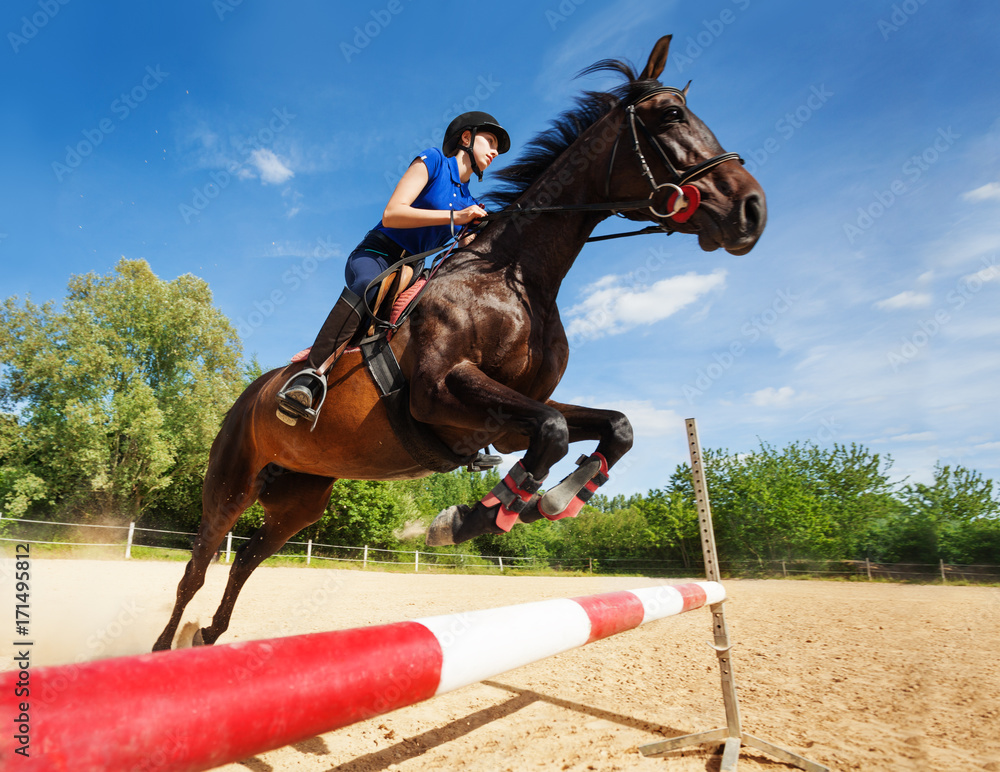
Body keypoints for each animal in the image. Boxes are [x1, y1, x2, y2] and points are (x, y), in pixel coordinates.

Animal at [154, 36, 764, 652]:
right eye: (671, 116)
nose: (753, 210)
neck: (517, 277)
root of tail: (248, 394)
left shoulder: (505, 420)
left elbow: (610, 426)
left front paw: (550, 501)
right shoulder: (439, 393)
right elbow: (553, 429)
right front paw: (471, 518)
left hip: (300, 497)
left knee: (245, 559)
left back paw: (209, 636)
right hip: (230, 483)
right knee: (198, 566)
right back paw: (165, 646)